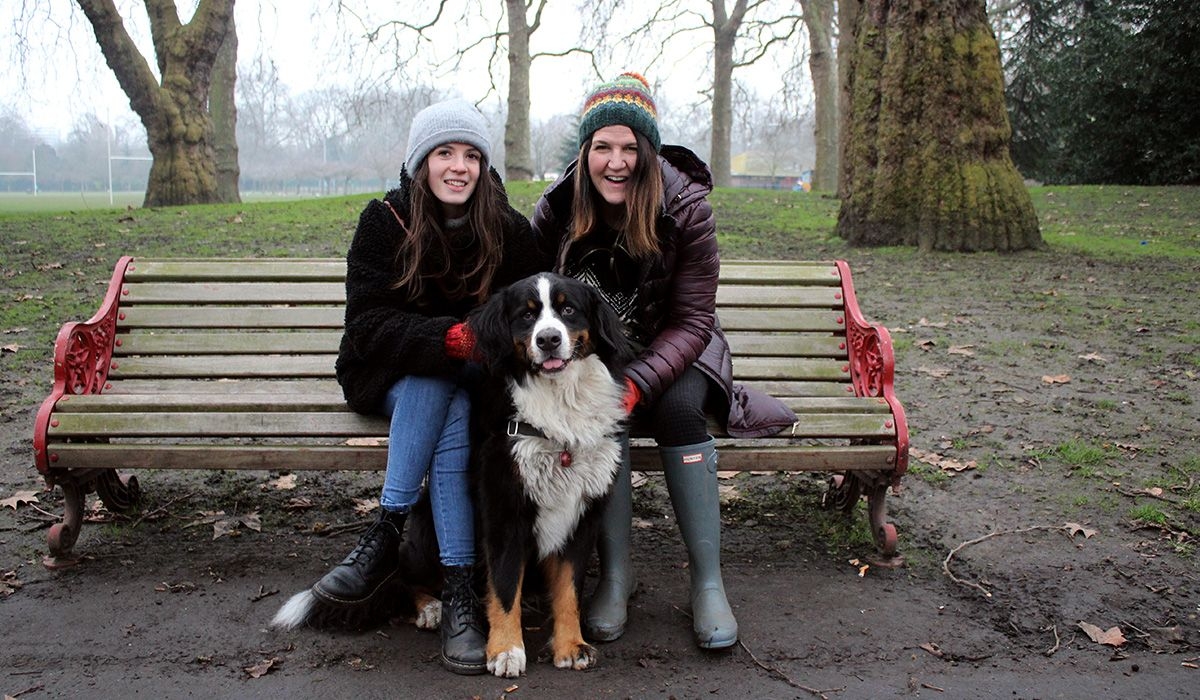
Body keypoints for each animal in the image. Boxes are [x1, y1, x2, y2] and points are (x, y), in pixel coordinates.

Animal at [468, 271, 638, 677]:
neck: (561, 401)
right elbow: (503, 587)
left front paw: (571, 645)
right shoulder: (504, 514)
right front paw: (506, 650)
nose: (548, 340)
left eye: (568, 309)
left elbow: (568, 591)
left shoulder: (581, 517)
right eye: (527, 315)